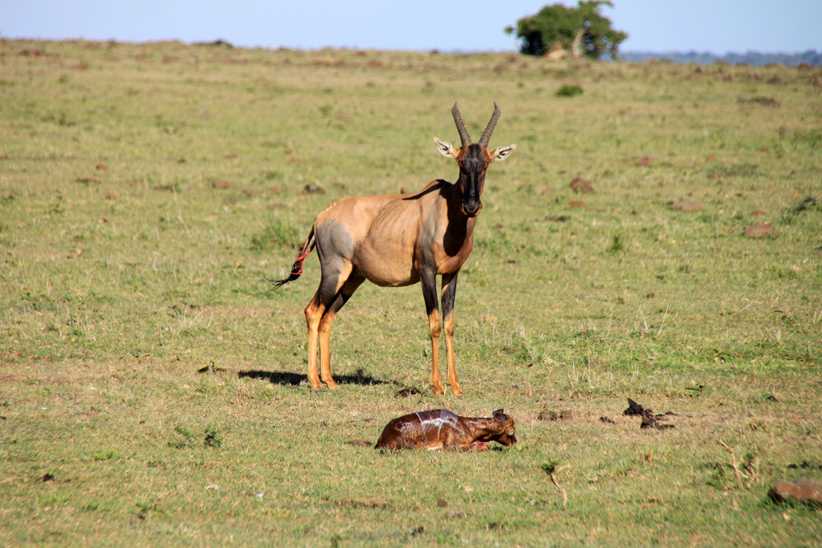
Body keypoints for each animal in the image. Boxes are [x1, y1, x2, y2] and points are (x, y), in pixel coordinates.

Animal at [276, 104, 520, 394]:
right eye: (460, 163)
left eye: (486, 164)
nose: (471, 206)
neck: (445, 209)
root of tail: (321, 216)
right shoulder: (427, 272)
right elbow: (434, 323)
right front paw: (438, 386)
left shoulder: (452, 274)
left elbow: (449, 324)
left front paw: (456, 387)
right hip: (334, 272)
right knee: (313, 312)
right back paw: (314, 381)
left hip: (352, 278)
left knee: (327, 318)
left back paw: (330, 380)